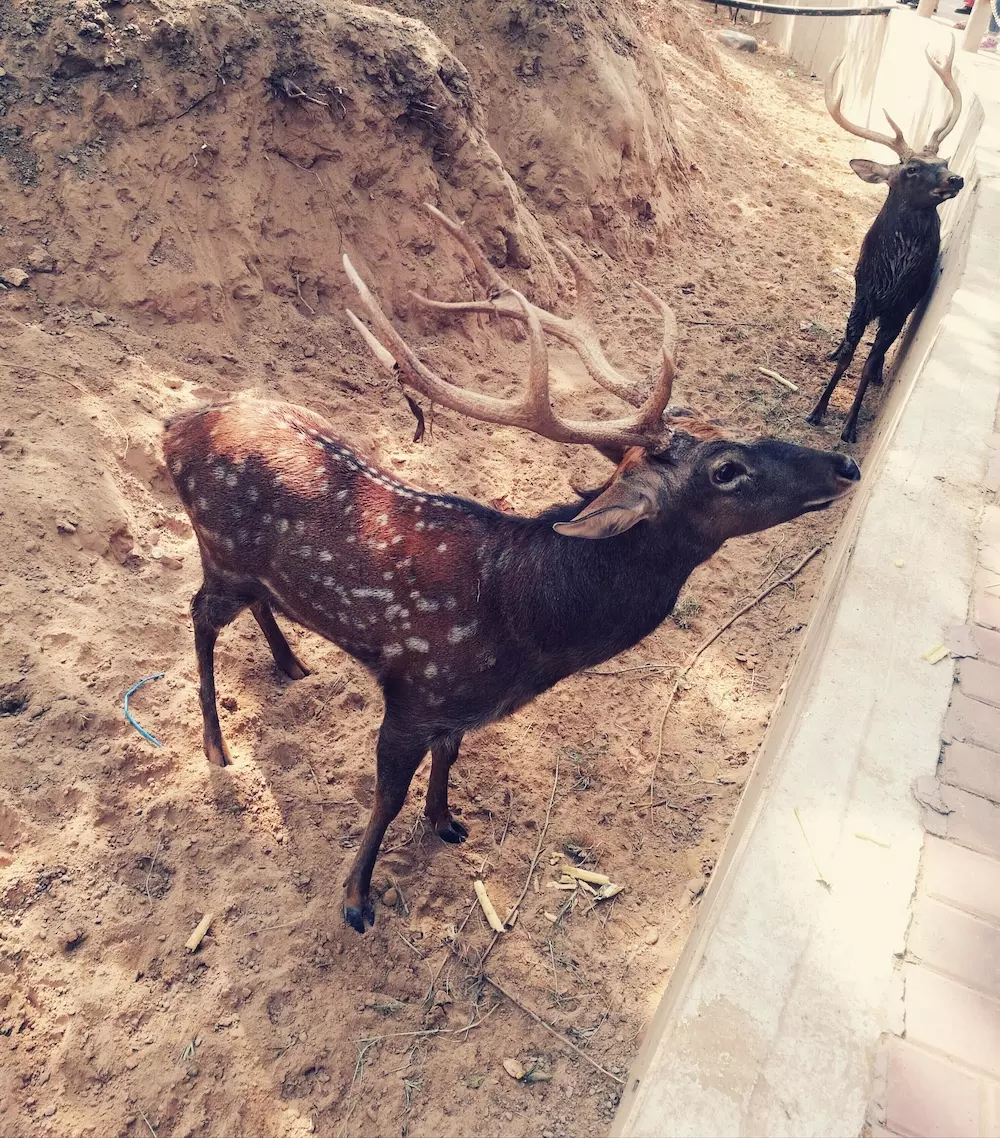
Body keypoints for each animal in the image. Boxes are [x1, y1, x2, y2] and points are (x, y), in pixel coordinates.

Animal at [163, 204, 860, 933]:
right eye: (725, 470)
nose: (846, 464)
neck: (526, 629)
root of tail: (174, 428)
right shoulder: (415, 692)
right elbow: (385, 797)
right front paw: (356, 898)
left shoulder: (458, 709)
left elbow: (450, 757)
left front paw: (446, 821)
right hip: (218, 549)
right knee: (197, 614)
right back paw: (216, 747)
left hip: (242, 565)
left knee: (251, 603)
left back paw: (292, 664)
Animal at [810, 40, 964, 441]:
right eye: (912, 169)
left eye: (944, 160)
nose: (956, 178)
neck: (892, 276)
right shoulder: (864, 294)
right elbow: (850, 356)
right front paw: (817, 410)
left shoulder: (900, 308)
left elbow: (868, 363)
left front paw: (849, 427)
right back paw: (834, 352)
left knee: (879, 355)